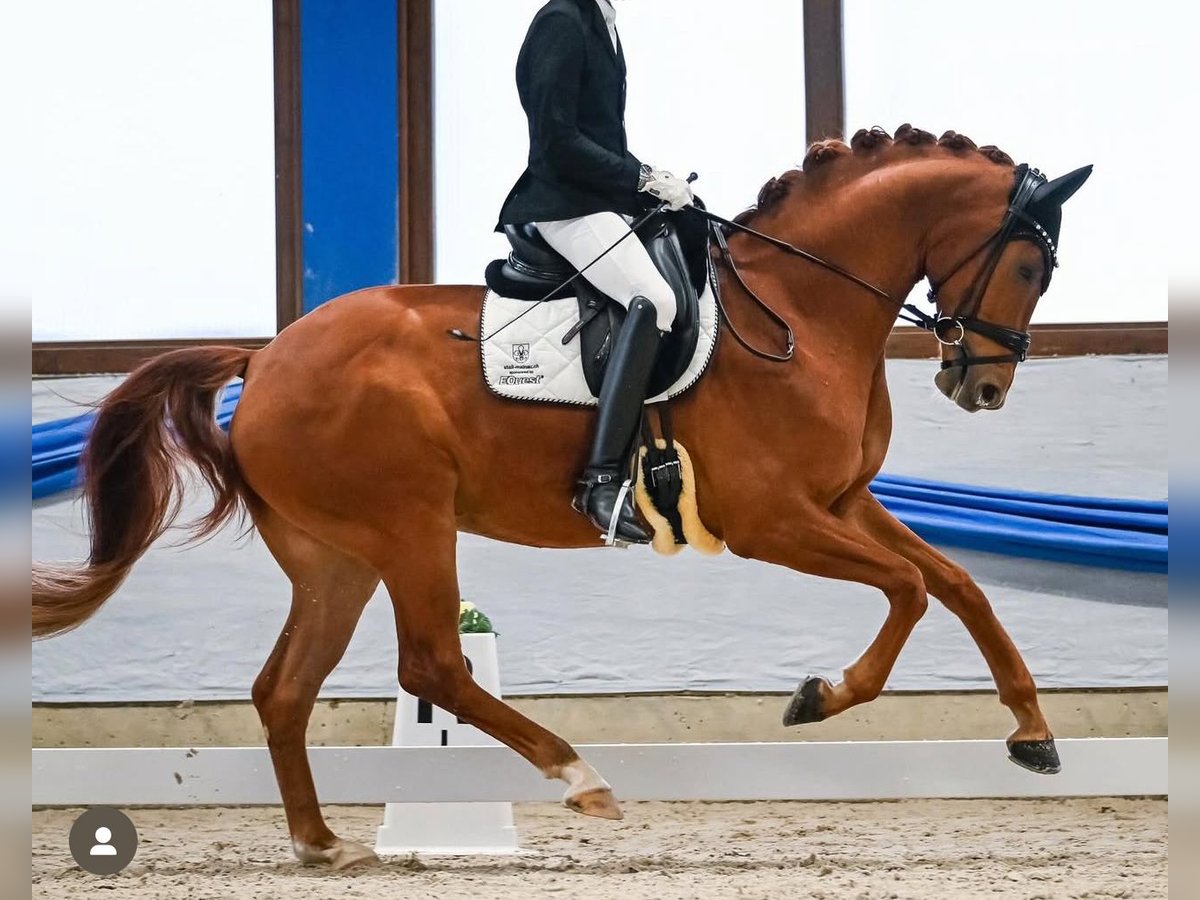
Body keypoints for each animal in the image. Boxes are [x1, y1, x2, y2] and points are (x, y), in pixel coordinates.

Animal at [33, 124, 1092, 869]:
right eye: (1030, 264)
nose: (982, 386)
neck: (804, 312)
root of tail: (264, 359)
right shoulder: (774, 521)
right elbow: (908, 592)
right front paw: (819, 697)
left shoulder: (842, 503)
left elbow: (958, 585)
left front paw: (1034, 736)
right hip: (410, 527)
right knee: (431, 666)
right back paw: (581, 778)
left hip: (335, 557)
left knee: (284, 688)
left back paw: (323, 845)